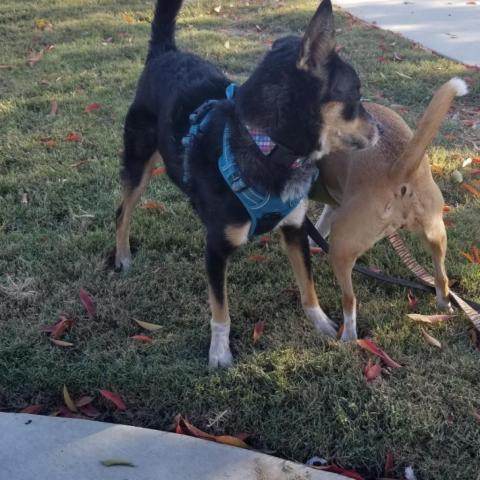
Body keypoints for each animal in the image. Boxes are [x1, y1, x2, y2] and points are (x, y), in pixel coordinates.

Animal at [114, 0, 380, 366]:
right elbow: (220, 311)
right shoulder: (215, 248)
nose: (380, 129)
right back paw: (122, 256)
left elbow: (307, 285)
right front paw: (219, 352)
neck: (265, 145)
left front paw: (322, 323)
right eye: (356, 94)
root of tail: (165, 53)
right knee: (122, 212)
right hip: (138, 162)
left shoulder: (295, 230)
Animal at [310, 78, 466, 342]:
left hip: (342, 246)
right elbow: (320, 225)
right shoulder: (332, 205)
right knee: (441, 277)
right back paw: (444, 305)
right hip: (436, 234)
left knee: (350, 300)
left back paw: (348, 338)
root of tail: (397, 170)